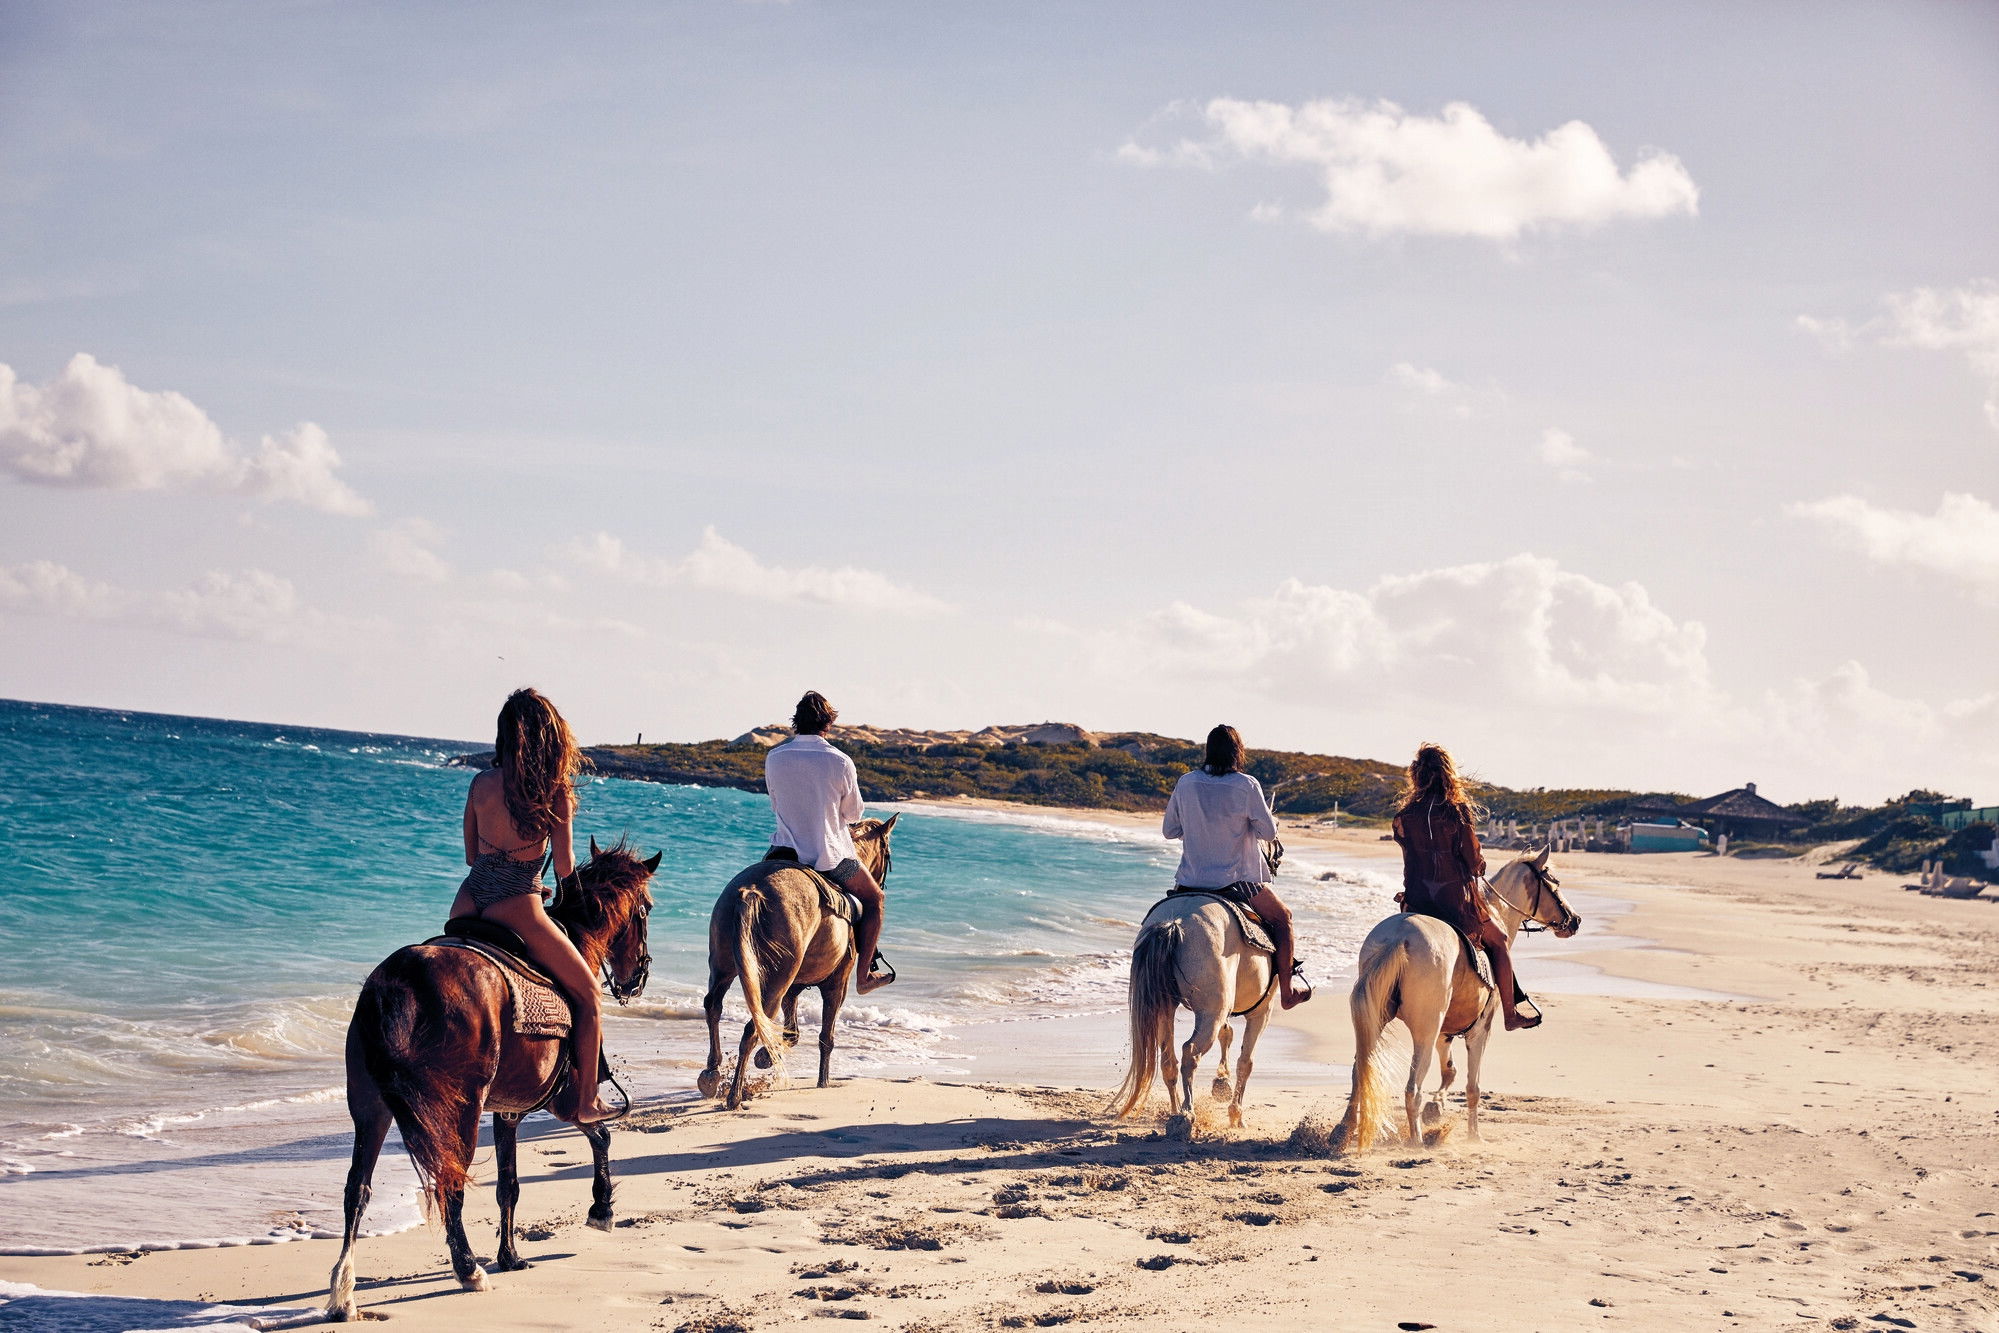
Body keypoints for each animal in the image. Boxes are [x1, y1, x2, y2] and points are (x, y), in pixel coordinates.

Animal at [323, 839, 659, 1319]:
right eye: (646, 910)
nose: (638, 977)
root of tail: (399, 979)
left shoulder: (509, 1110)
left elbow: (509, 1185)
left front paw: (511, 1255)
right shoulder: (564, 1099)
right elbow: (601, 1135)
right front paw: (601, 1209)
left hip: (370, 1108)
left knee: (358, 1189)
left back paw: (344, 1291)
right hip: (459, 1108)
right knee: (450, 1183)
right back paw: (467, 1270)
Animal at [695, 819, 899, 1111]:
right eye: (888, 853)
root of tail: (752, 890)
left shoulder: (793, 987)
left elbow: (792, 1032)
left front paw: (767, 1056)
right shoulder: (837, 985)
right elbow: (826, 1037)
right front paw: (823, 1082)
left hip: (725, 967)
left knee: (713, 1006)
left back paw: (712, 1074)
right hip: (775, 982)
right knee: (752, 1027)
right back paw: (735, 1096)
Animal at [1103, 895, 1271, 1135]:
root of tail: (1175, 922)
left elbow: (1227, 1035)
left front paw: (1222, 1081)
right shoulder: (1261, 1011)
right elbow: (1245, 1062)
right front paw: (1236, 1115)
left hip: (1164, 1009)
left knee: (1168, 1061)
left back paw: (1175, 1112)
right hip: (1212, 1012)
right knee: (1190, 1052)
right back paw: (1187, 1113)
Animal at [1335, 851, 1583, 1151]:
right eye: (1554, 882)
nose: (1575, 920)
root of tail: (1399, 938)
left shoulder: (1445, 1031)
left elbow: (1449, 1071)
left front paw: (1437, 1106)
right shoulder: (1479, 1031)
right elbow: (1472, 1087)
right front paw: (1474, 1135)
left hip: (1376, 1020)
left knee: (1360, 1073)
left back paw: (1343, 1131)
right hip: (1425, 1031)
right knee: (1412, 1088)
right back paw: (1417, 1142)